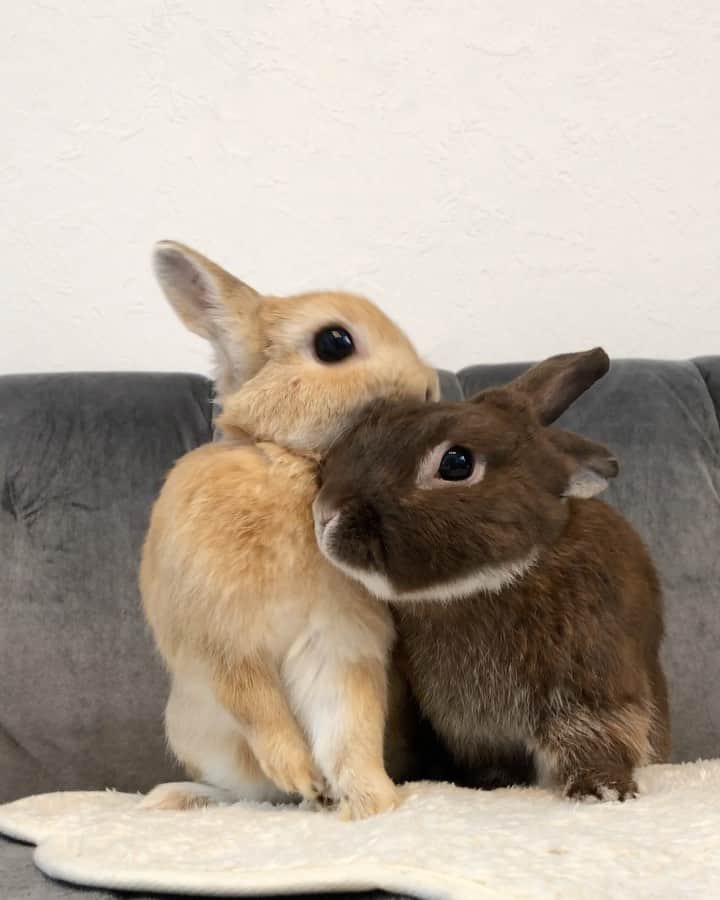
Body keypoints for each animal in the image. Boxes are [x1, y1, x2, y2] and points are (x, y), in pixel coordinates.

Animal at [139, 241, 439, 819]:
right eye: (334, 342)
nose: (431, 390)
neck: (295, 464)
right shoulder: (224, 637)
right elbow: (256, 705)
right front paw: (302, 774)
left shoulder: (339, 646)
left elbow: (349, 730)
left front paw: (373, 804)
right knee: (243, 789)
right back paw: (180, 798)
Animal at [313, 348, 671, 801]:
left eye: (456, 463)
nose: (324, 513)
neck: (492, 581)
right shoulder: (473, 729)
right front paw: (491, 787)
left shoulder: (595, 688)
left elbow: (597, 738)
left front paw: (603, 790)